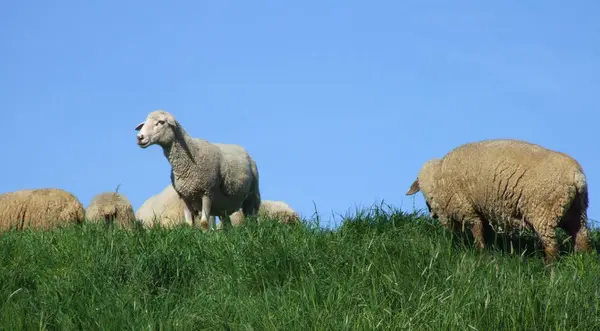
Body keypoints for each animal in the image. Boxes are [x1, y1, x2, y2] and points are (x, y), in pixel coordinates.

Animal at [406, 138, 592, 264]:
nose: (432, 213)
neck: (438, 178)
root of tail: (576, 176)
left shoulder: (467, 210)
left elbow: (478, 233)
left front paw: (481, 257)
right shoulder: (483, 211)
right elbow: (486, 233)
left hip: (543, 213)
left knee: (552, 247)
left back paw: (550, 271)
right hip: (577, 211)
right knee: (582, 238)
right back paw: (581, 263)